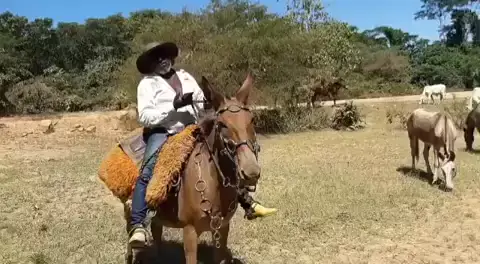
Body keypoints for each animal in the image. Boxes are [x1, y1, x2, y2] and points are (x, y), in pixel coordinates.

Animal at [122, 72, 260, 264]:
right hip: (129, 213)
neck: (213, 184)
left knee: (157, 232)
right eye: (222, 124)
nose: (251, 171)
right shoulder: (190, 232)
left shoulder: (222, 229)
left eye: (252, 120)